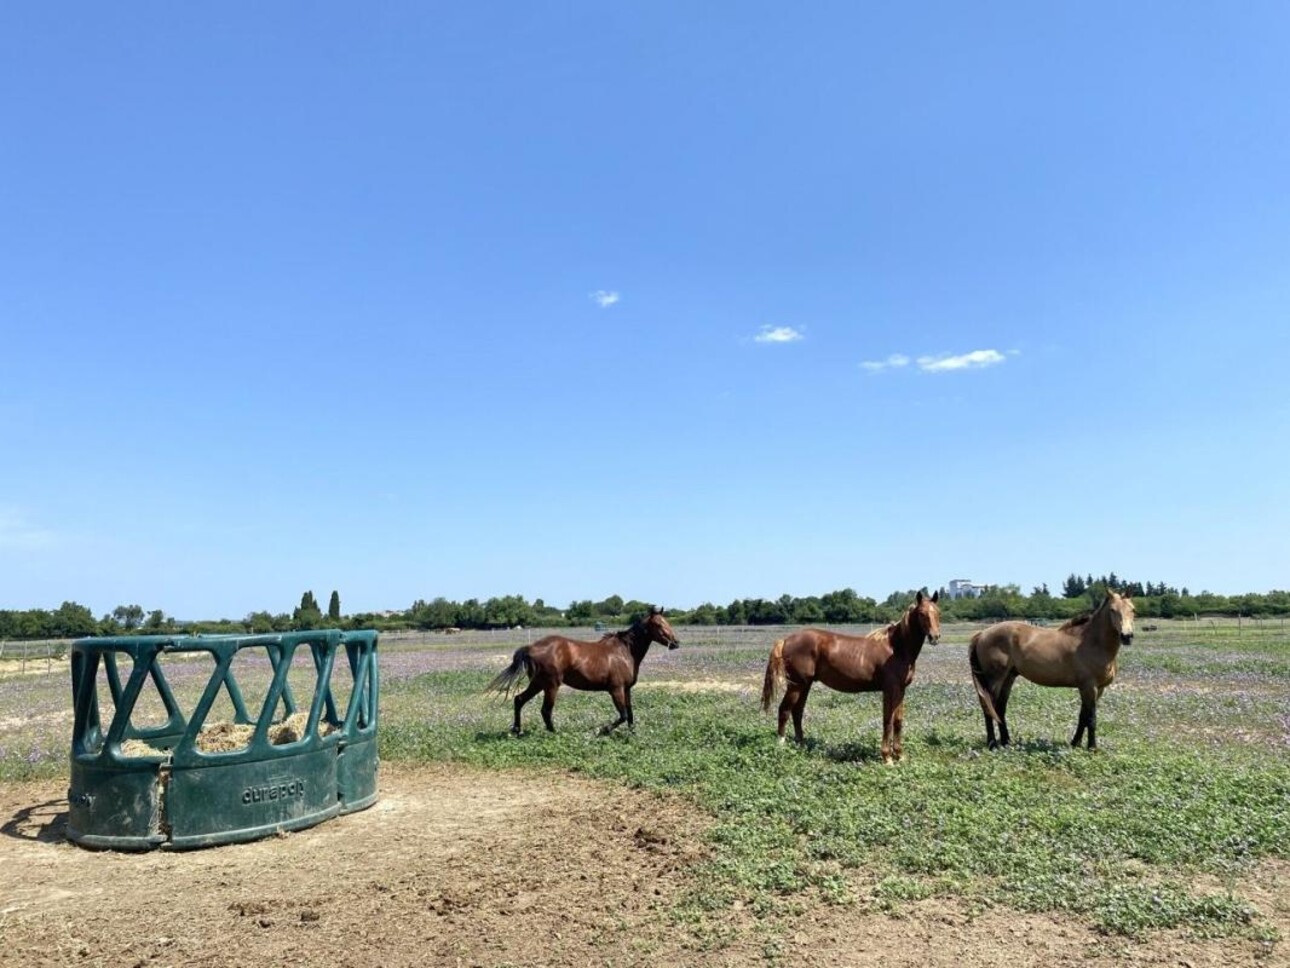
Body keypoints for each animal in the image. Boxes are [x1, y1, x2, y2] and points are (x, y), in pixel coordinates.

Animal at [485, 609, 681, 738]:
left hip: (538, 683)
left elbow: (630, 713)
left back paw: (517, 730)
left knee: (519, 699)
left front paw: (633, 734)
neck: (625, 651)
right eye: (658, 624)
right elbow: (623, 715)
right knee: (545, 710)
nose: (676, 643)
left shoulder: (626, 689)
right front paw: (603, 730)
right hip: (550, 685)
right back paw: (554, 733)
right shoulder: (616, 689)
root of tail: (531, 648)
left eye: (667, 622)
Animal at [758, 591, 944, 764]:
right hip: (796, 685)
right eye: (922, 613)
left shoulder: (901, 690)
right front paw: (887, 758)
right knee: (784, 710)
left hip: (805, 685)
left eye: (938, 612)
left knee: (797, 712)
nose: (935, 637)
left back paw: (801, 745)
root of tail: (786, 639)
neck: (896, 648)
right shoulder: (890, 689)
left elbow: (898, 721)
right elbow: (887, 721)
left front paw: (900, 755)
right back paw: (781, 746)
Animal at [970, 588, 1140, 753]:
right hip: (994, 680)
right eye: (1112, 610)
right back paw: (992, 744)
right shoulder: (1089, 687)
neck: (1092, 643)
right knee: (988, 706)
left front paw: (1075, 743)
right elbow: (1091, 719)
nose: (1127, 636)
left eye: (1133, 609)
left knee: (1000, 708)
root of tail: (982, 634)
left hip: (1009, 678)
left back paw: (1006, 742)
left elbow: (1083, 716)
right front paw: (1092, 748)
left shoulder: (1098, 689)